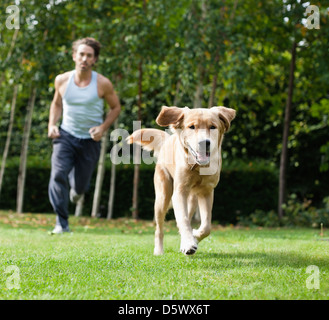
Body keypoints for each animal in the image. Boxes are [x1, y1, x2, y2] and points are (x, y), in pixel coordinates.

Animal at [126, 106, 236, 256]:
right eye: (192, 127)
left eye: (213, 127)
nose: (204, 143)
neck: (197, 167)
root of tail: (167, 140)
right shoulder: (179, 192)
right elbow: (183, 220)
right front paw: (189, 244)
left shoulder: (206, 192)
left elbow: (206, 226)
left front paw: (193, 238)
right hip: (162, 197)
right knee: (160, 229)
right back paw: (159, 250)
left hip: (192, 200)